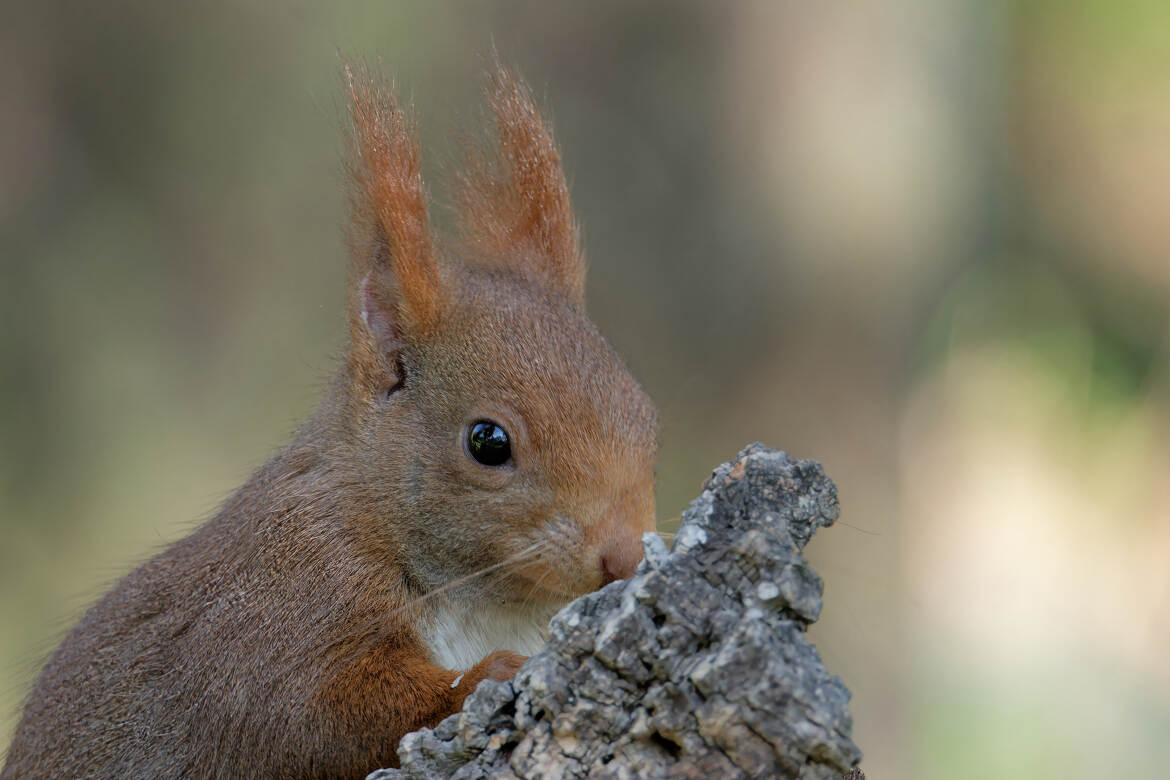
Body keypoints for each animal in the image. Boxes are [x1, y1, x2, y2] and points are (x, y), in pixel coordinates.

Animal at [0, 64, 659, 776]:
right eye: (488, 442)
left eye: (647, 417)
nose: (626, 555)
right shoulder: (278, 603)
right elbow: (308, 711)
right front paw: (486, 677)